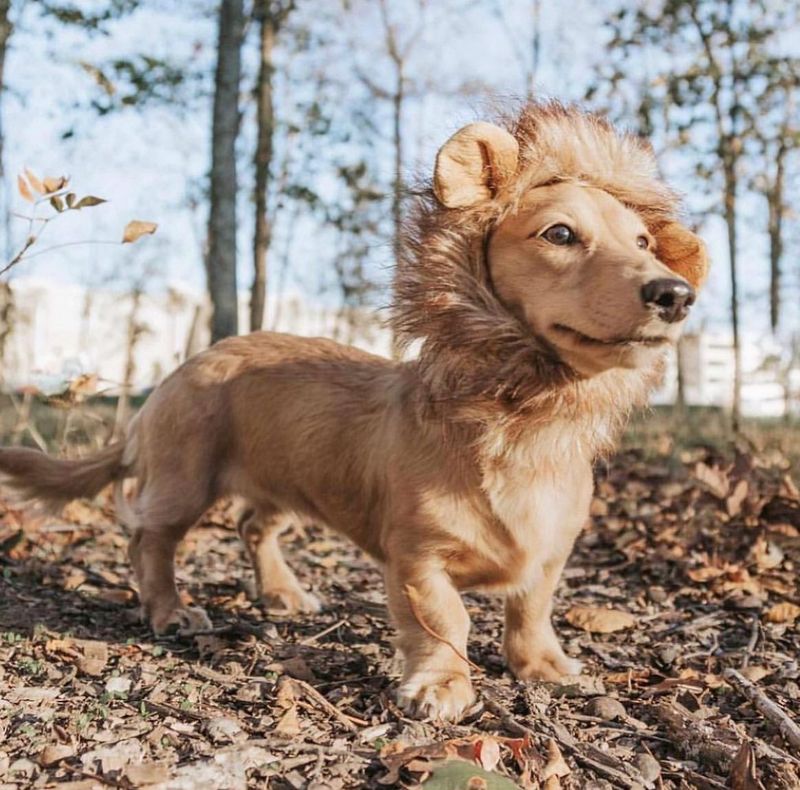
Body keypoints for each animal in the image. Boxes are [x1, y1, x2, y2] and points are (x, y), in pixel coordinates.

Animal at [0, 103, 708, 724]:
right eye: (560, 233)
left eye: (645, 241)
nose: (677, 294)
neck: (521, 425)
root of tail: (176, 373)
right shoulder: (417, 559)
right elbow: (445, 621)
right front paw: (442, 687)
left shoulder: (548, 558)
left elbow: (531, 608)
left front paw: (542, 665)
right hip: (183, 482)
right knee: (151, 540)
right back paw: (170, 611)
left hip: (287, 481)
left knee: (253, 527)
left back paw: (282, 593)